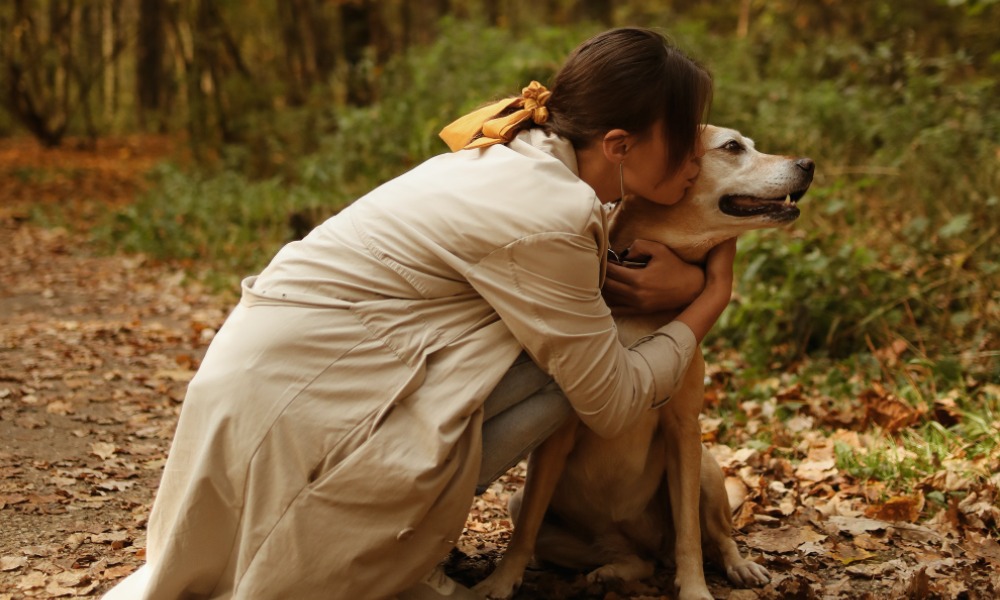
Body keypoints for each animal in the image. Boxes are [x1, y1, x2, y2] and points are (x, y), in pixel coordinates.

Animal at [470, 125, 812, 600]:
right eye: (732, 147)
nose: (808, 163)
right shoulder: (555, 442)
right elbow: (524, 534)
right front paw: (500, 582)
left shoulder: (684, 430)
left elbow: (690, 534)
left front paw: (694, 589)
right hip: (523, 503)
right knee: (629, 558)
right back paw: (612, 571)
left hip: (707, 469)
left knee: (716, 536)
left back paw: (738, 567)